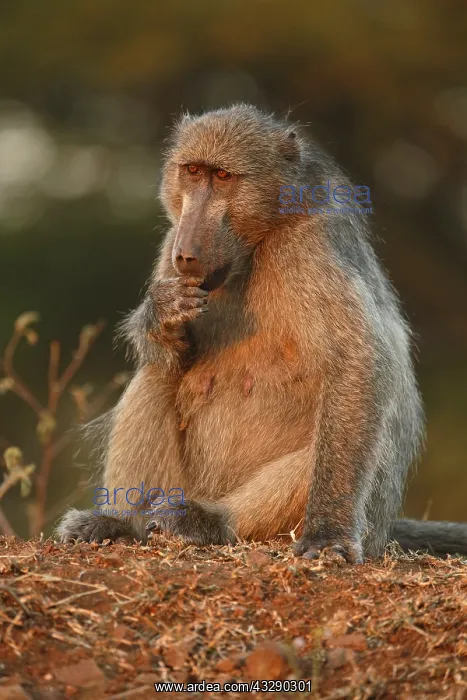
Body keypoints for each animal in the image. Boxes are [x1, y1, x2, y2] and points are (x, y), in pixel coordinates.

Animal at [56, 104, 467, 562]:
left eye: (222, 176)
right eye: (192, 171)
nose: (187, 254)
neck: (257, 244)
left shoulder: (310, 248)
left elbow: (357, 364)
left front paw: (328, 533)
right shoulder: (169, 245)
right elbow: (170, 352)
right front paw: (161, 317)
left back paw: (210, 520)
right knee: (157, 374)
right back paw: (120, 523)